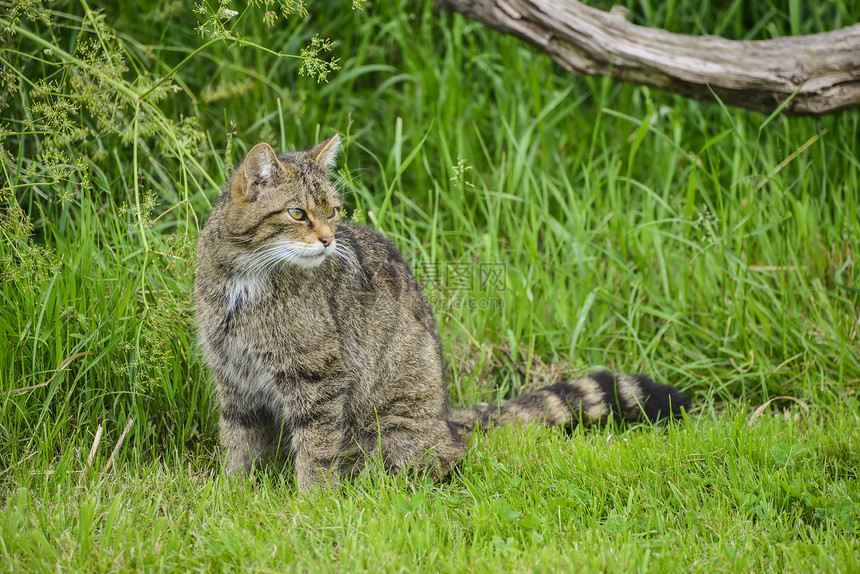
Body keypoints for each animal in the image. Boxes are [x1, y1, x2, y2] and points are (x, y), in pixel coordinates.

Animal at [195, 135, 692, 490]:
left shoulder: (319, 376)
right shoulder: (232, 376)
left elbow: (316, 450)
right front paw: (232, 494)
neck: (246, 281)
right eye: (298, 213)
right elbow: (237, 442)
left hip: (388, 432)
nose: (328, 239)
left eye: (333, 212)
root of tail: (447, 420)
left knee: (436, 463)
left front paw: (311, 504)